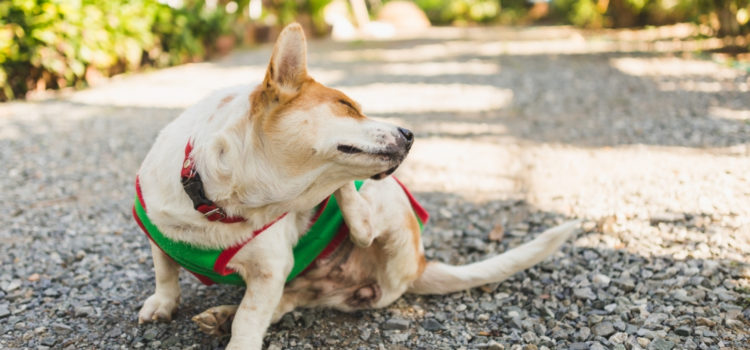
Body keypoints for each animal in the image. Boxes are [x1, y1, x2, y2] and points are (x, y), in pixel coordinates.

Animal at [135, 23, 580, 348]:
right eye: (347, 106)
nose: (410, 133)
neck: (221, 202)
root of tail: (421, 263)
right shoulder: (159, 231)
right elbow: (165, 271)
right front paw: (164, 304)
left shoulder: (269, 270)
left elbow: (250, 318)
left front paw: (238, 336)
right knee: (288, 299)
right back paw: (221, 315)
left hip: (388, 202)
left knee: (363, 226)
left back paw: (344, 196)